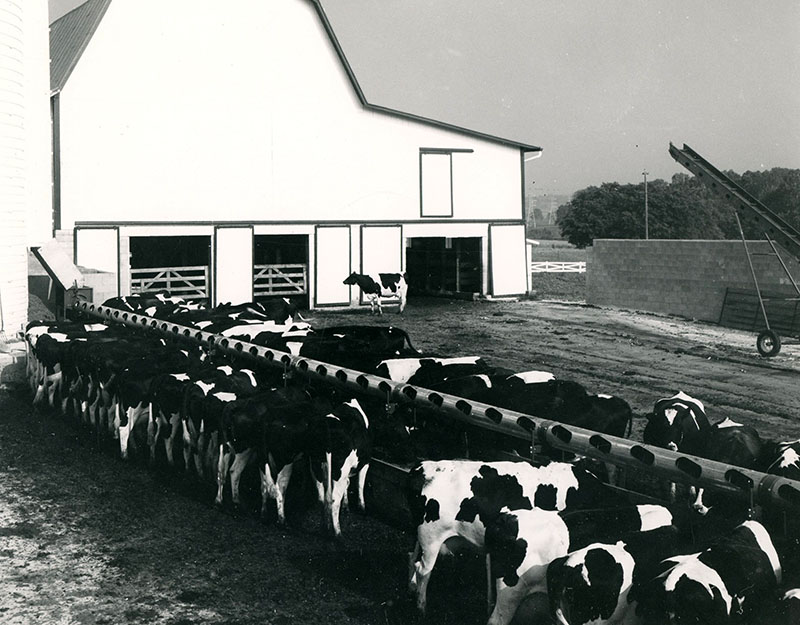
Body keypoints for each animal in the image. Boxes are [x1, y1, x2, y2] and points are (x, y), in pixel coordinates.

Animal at [404, 456, 620, 612]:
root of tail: (424, 467)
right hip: (431, 538)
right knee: (423, 569)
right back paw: (421, 606)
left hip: (421, 536)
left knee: (412, 557)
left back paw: (411, 587)